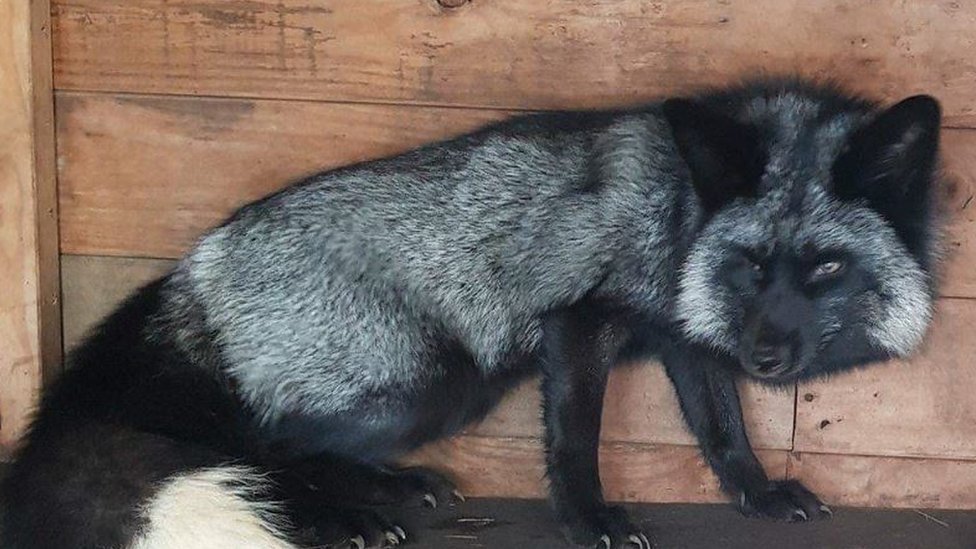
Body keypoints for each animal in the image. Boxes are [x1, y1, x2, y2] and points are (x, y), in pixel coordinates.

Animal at [0, 78, 944, 549]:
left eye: (825, 266)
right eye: (752, 264)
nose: (770, 356)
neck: (679, 213)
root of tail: (196, 264)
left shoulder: (688, 334)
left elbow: (723, 429)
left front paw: (759, 493)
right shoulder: (578, 323)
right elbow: (575, 442)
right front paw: (589, 521)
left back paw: (389, 487)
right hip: (430, 381)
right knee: (263, 440)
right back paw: (332, 516)